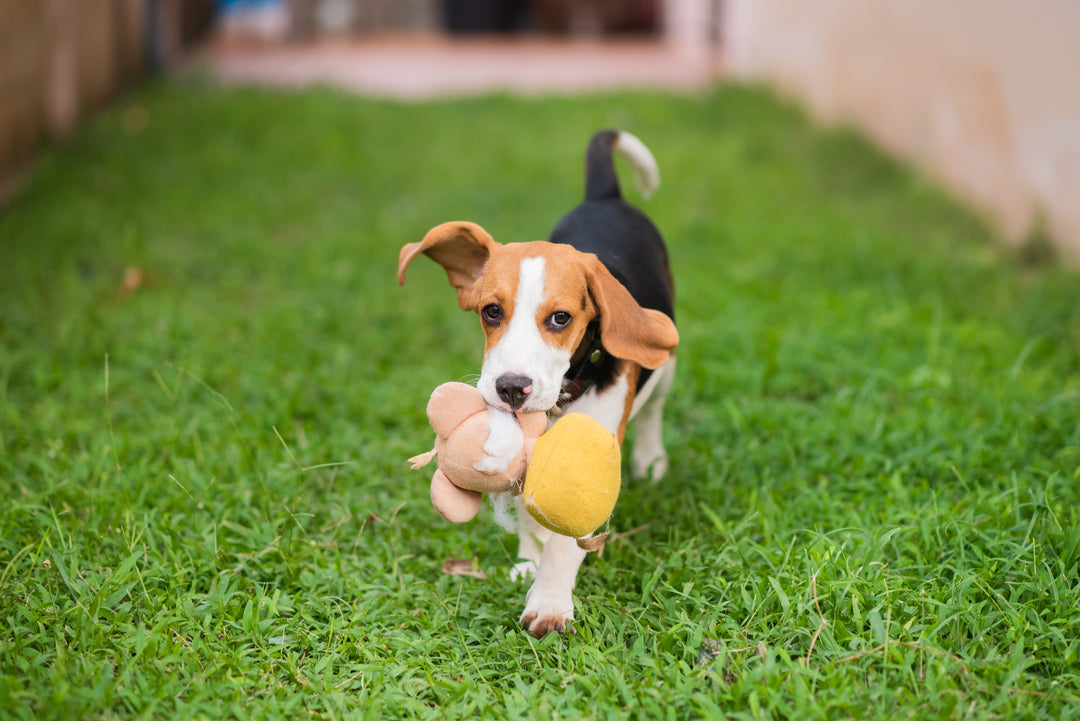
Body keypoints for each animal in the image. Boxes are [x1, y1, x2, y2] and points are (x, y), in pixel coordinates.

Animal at [401, 129, 678, 634]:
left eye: (560, 318)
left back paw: (651, 459)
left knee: (654, 409)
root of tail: (603, 197)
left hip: (666, 364)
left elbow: (566, 538)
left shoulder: (588, 456)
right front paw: (529, 563)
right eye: (491, 311)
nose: (511, 388)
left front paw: (549, 601)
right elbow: (530, 518)